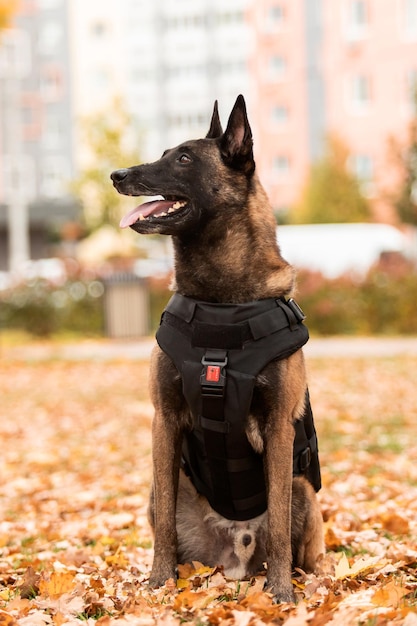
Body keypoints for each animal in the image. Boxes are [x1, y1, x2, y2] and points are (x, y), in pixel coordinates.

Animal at [109, 94, 322, 600]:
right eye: (164, 153)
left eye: (184, 159)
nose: (117, 175)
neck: (220, 304)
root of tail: (237, 555)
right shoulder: (164, 422)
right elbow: (165, 524)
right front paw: (159, 582)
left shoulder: (279, 429)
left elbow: (279, 524)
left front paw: (281, 594)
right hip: (160, 494)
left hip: (305, 490)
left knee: (300, 543)